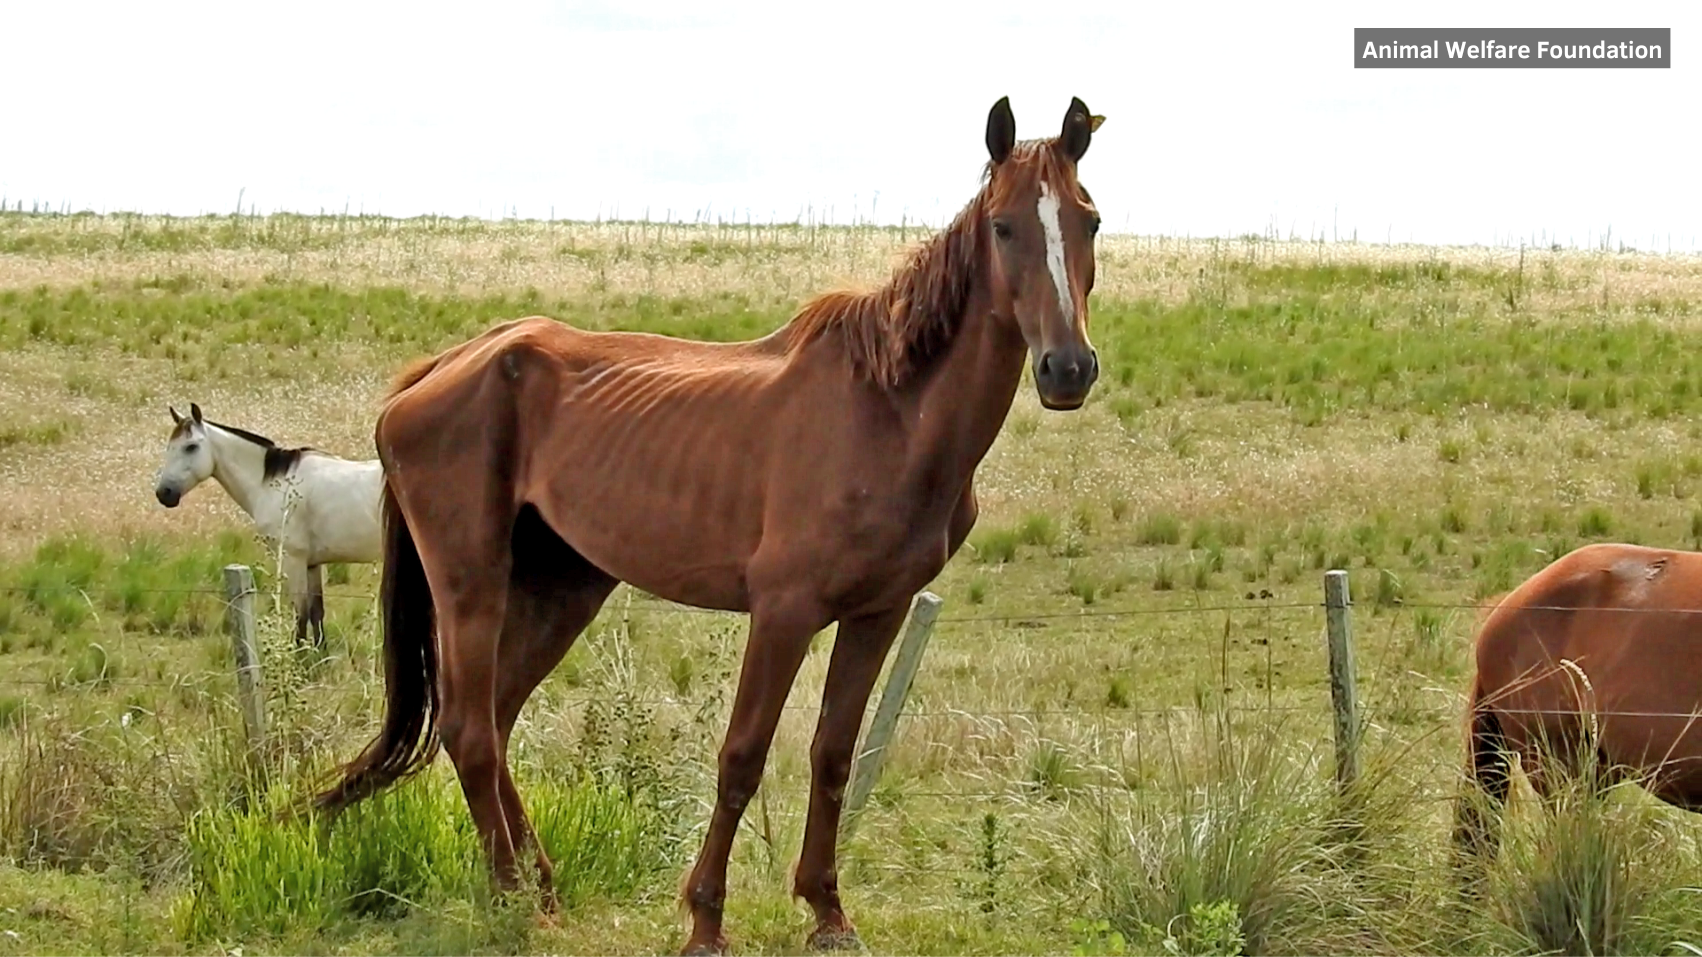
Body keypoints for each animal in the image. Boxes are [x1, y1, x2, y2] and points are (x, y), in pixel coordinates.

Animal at [153, 398, 382, 643]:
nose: (164, 493)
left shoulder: (293, 559)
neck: (275, 483)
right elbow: (316, 615)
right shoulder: (312, 564)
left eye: (191, 447)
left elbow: (300, 617)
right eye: (169, 447)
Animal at [314, 94, 1109, 946]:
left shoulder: (878, 612)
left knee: (492, 721)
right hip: (471, 585)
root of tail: (437, 370)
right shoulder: (784, 611)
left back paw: (544, 887)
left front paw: (828, 911)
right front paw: (706, 919)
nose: (1068, 369)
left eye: (1088, 220)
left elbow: (833, 754)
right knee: (467, 728)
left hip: (562, 586)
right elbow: (742, 756)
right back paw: (512, 899)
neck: (891, 412)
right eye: (1003, 226)